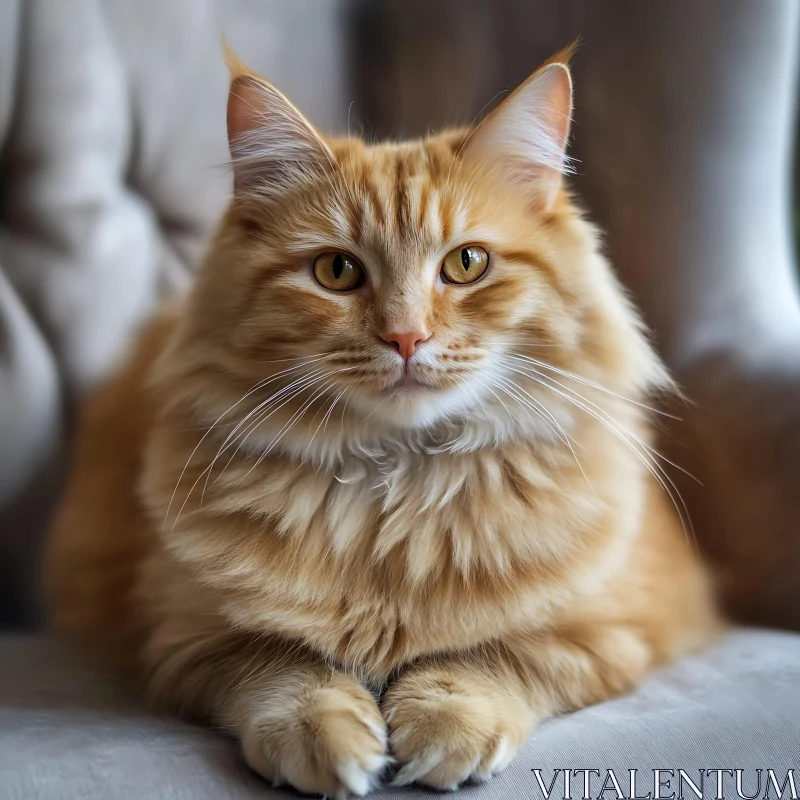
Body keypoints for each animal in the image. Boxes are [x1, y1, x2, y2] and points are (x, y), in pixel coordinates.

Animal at [45, 53, 720, 796]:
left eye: (466, 263)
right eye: (337, 271)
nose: (406, 336)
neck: (400, 482)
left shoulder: (612, 630)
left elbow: (496, 655)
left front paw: (447, 723)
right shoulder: (181, 637)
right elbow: (283, 666)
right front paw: (324, 738)